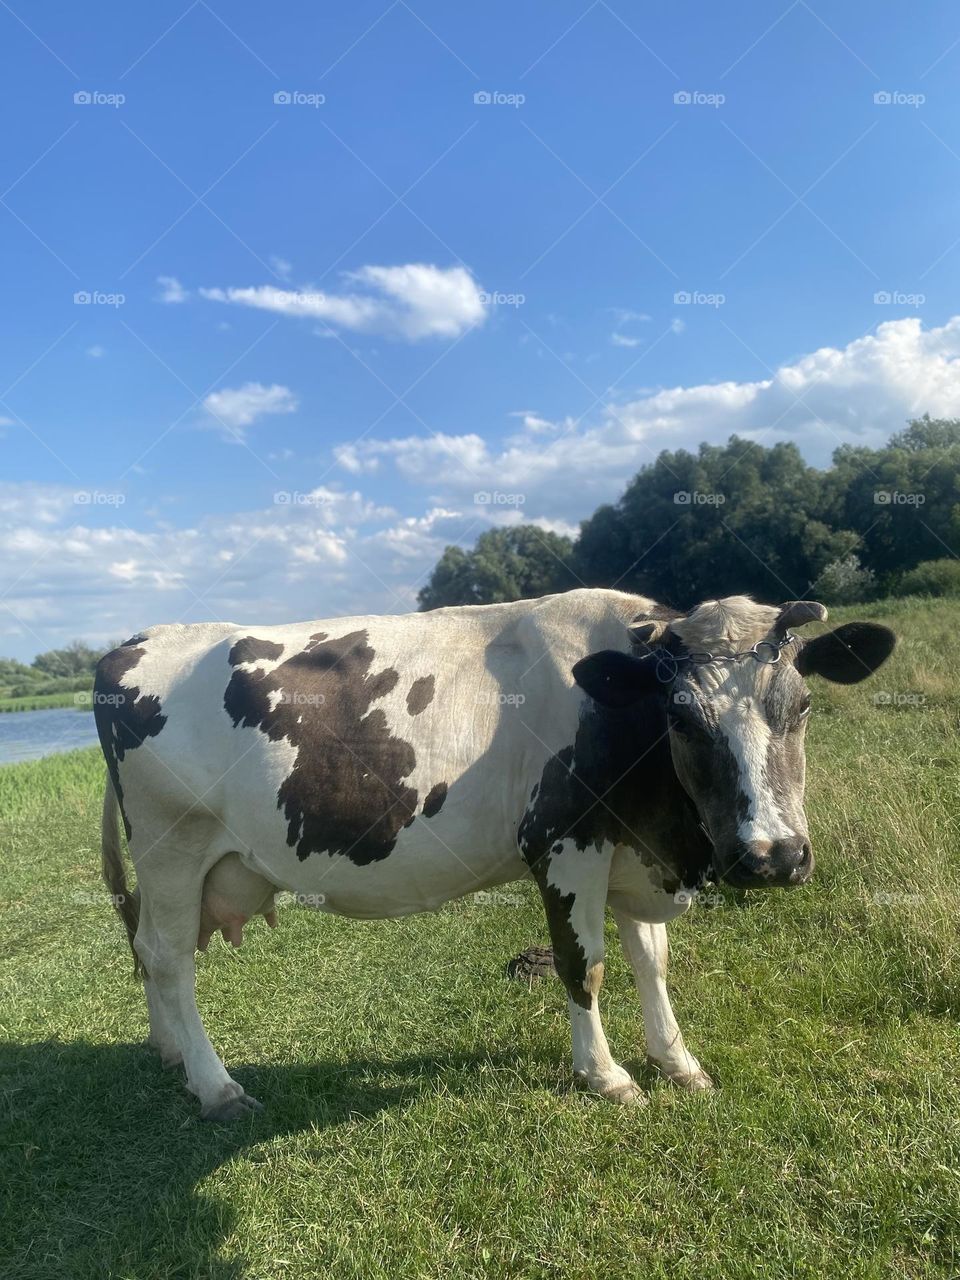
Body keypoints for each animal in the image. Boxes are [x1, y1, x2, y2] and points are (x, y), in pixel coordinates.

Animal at [94, 589, 894, 1120]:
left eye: (802, 706)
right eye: (683, 718)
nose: (772, 855)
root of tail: (133, 640)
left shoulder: (631, 848)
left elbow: (652, 959)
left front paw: (678, 1061)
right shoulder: (566, 845)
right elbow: (585, 965)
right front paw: (605, 1075)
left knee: (147, 950)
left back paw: (172, 1053)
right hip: (172, 845)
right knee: (168, 958)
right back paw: (216, 1084)